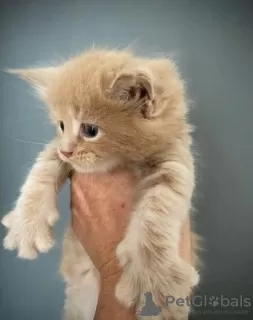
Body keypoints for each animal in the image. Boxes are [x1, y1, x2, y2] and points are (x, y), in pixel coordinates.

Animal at [1, 48, 200, 318]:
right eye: (61, 125)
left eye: (90, 130)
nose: (67, 151)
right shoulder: (58, 151)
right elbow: (43, 166)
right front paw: (27, 226)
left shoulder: (175, 160)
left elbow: (157, 211)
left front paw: (151, 276)